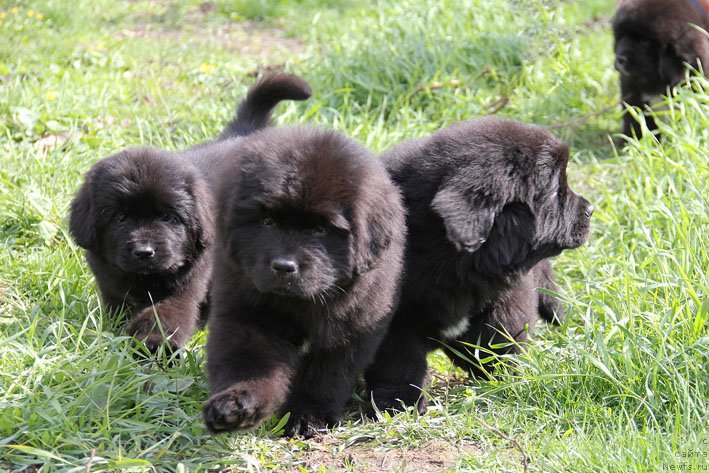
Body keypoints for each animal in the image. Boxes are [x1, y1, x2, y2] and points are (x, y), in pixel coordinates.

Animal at [68, 74, 310, 352]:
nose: (144, 252)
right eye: (119, 218)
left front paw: (154, 342)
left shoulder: (190, 280)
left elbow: (167, 312)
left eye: (168, 218)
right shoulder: (110, 281)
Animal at [202, 124, 406, 436]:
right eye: (267, 222)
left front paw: (308, 417)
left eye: (321, 229)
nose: (284, 266)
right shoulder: (248, 314)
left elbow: (325, 377)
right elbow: (248, 362)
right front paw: (235, 406)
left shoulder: (353, 327)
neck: (300, 303)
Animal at [366, 116, 592, 412]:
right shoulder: (393, 319)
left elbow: (498, 340)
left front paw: (503, 378)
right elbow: (400, 362)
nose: (590, 210)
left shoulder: (506, 300)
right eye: (556, 190)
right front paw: (400, 403)